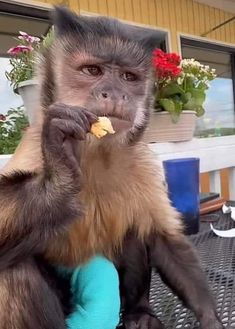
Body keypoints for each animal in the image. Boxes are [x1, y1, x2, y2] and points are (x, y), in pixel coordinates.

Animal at [0, 5, 222, 328]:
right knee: (12, 270)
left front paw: (210, 318)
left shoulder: (142, 161)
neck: (95, 149)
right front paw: (59, 169)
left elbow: (165, 239)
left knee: (136, 228)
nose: (116, 94)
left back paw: (138, 312)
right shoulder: (31, 147)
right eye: (93, 71)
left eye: (129, 77)